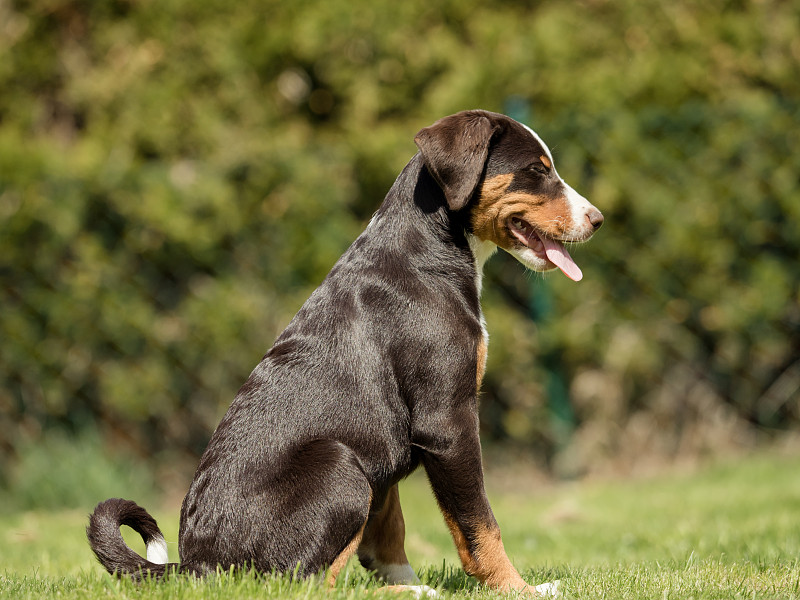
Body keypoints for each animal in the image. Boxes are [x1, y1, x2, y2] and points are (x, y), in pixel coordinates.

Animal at [87, 109, 600, 596]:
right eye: (535, 170)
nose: (597, 219)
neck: (424, 255)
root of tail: (199, 566)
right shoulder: (448, 423)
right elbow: (480, 525)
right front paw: (519, 589)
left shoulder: (386, 448)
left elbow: (389, 527)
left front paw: (410, 578)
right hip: (339, 463)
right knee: (306, 584)